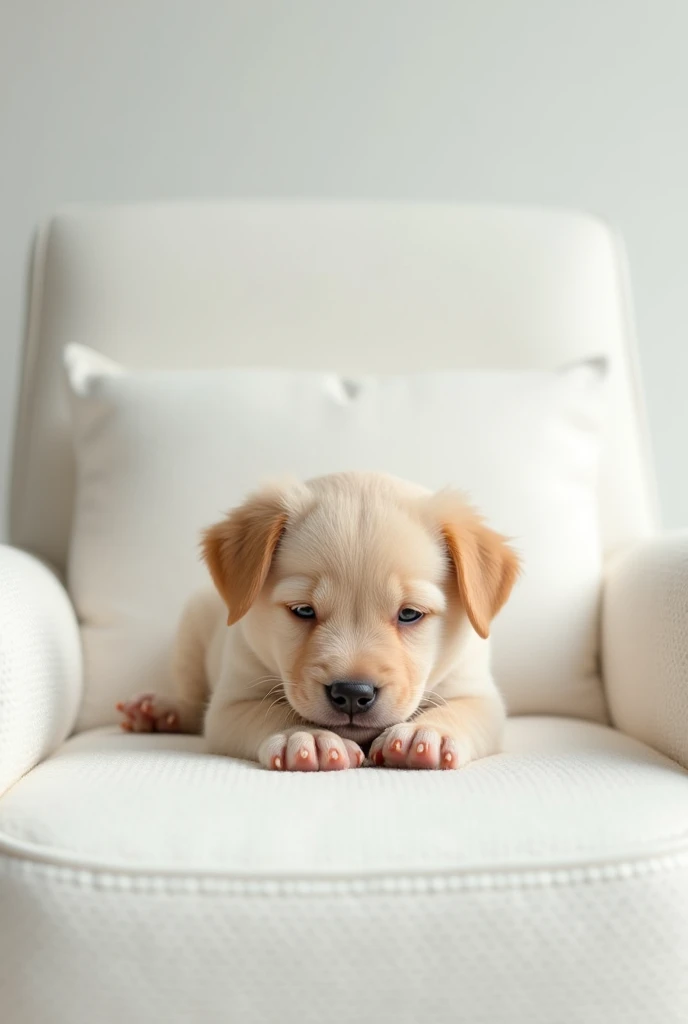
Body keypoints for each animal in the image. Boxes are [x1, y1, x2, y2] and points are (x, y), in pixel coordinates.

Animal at [118, 468, 518, 770]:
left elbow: (460, 711)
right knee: (191, 698)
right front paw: (306, 735)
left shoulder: (478, 692)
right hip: (192, 626)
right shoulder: (231, 703)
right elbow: (271, 713)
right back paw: (159, 711)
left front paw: (426, 734)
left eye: (409, 614)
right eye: (303, 610)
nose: (353, 693)